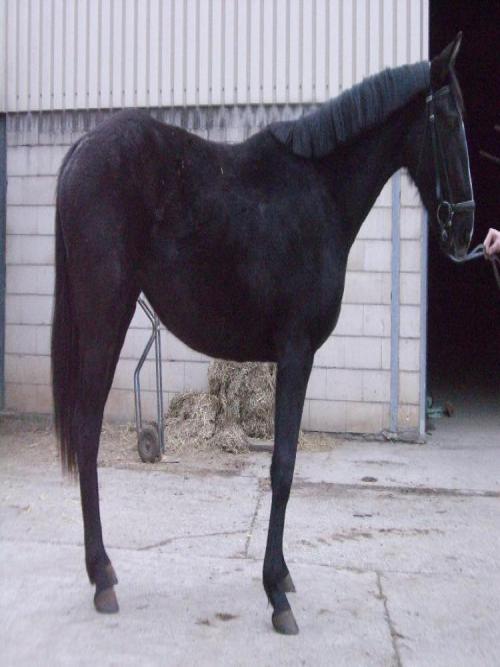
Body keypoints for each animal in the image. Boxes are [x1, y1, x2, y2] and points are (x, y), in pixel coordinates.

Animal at [51, 33, 474, 635]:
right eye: (450, 118)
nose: (464, 228)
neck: (319, 191)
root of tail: (83, 148)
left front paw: (284, 577)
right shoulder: (297, 353)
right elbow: (283, 465)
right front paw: (277, 593)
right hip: (104, 319)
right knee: (87, 434)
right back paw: (103, 577)